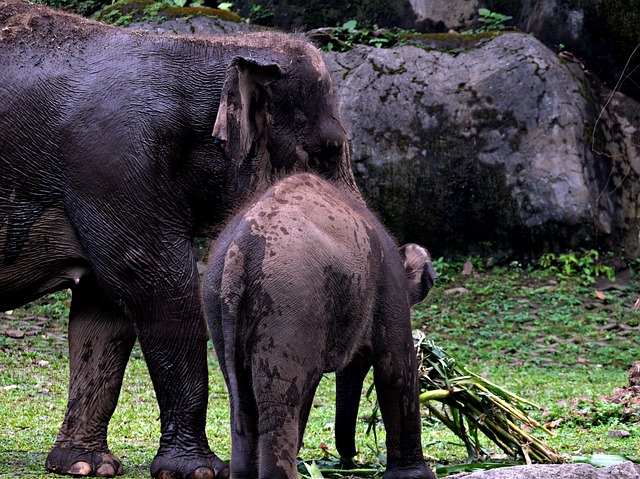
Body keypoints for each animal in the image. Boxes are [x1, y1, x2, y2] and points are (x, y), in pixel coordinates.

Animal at [0, 1, 356, 478]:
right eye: (325, 155)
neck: (206, 49)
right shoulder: (117, 165)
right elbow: (159, 288)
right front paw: (200, 471)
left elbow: (103, 311)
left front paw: (86, 466)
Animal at [202, 174, 438, 479]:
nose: (351, 457)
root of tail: (239, 249)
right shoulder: (390, 286)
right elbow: (395, 371)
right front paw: (416, 477)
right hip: (288, 299)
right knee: (279, 399)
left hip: (217, 303)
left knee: (242, 400)